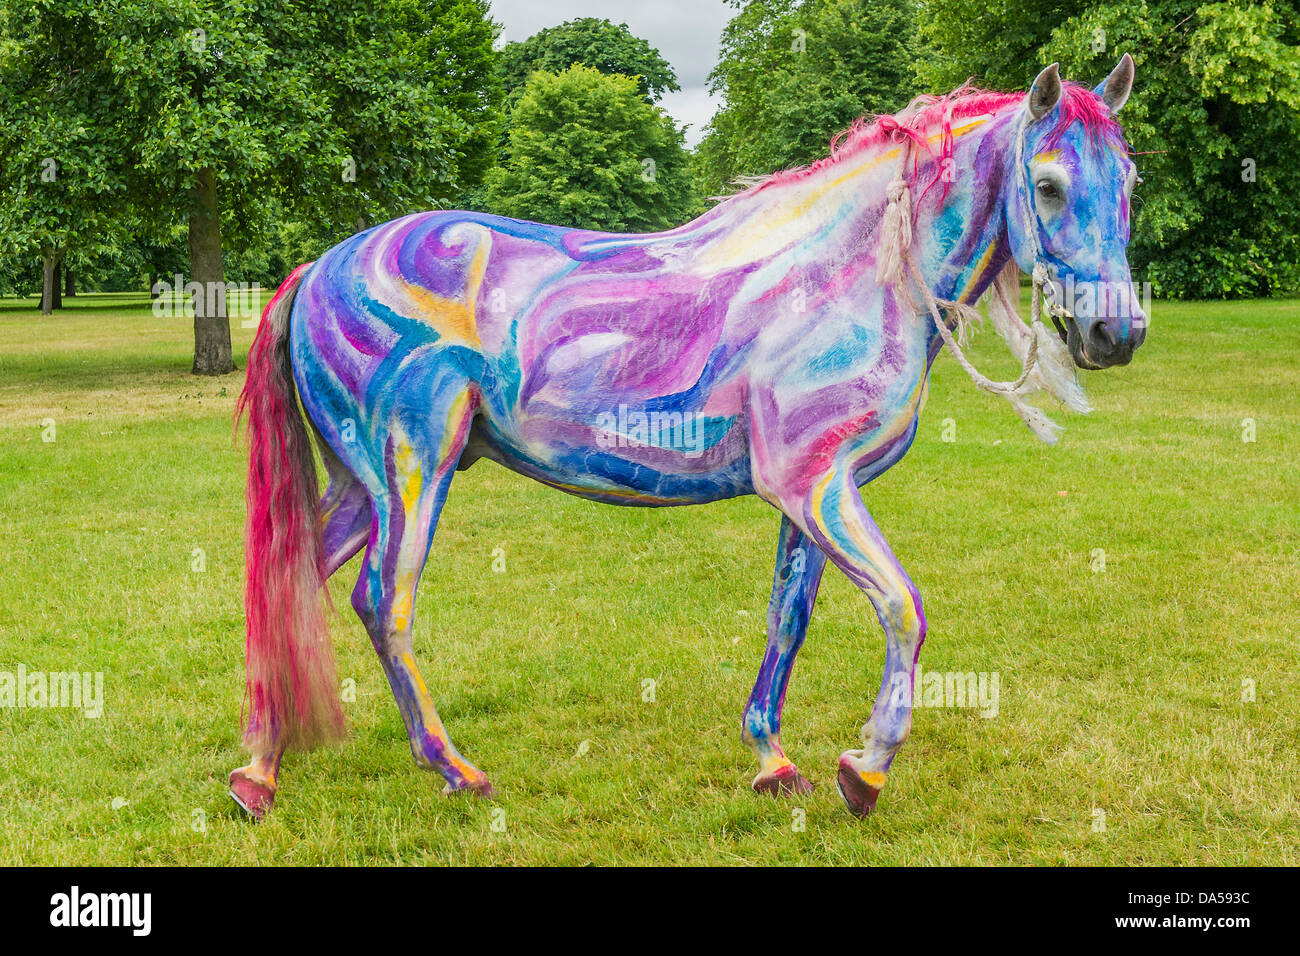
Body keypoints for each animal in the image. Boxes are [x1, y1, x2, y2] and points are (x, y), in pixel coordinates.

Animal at [228, 57, 1144, 822]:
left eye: (1129, 177)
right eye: (1049, 184)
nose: (1119, 333)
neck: (841, 279)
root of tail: (322, 268)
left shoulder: (814, 494)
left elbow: (789, 619)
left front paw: (775, 761)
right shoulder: (814, 486)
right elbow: (902, 609)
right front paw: (865, 770)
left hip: (361, 485)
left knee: (292, 584)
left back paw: (258, 774)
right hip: (410, 471)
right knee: (383, 602)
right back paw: (454, 769)